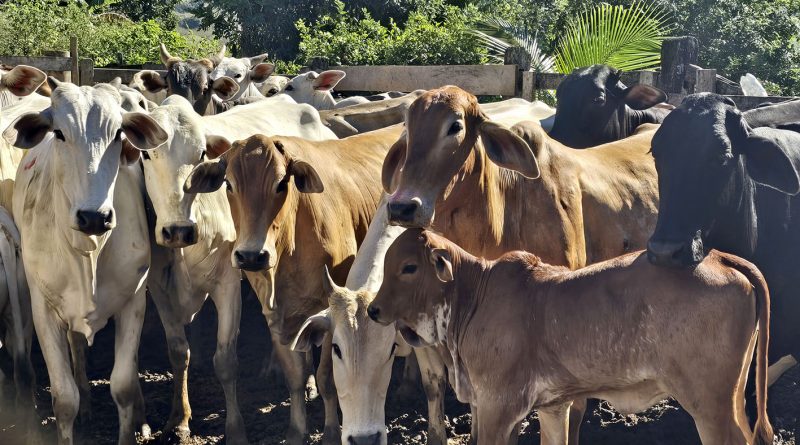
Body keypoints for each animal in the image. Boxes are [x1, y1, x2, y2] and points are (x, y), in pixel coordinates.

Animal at [3, 79, 167, 445]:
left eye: (119, 133)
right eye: (59, 133)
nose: (94, 216)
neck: (88, 250)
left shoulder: (134, 302)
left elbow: (122, 386)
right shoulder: (43, 310)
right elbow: (64, 399)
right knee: (76, 347)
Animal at [126, 94, 338, 443]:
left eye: (201, 154)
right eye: (146, 154)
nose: (178, 230)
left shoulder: (227, 283)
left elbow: (225, 362)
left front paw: (235, 429)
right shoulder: (159, 286)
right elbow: (178, 353)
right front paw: (179, 419)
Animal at [183, 124, 402, 444]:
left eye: (280, 184)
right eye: (229, 184)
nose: (251, 255)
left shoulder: (330, 309)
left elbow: (328, 378)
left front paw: (331, 432)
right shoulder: (275, 313)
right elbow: (295, 376)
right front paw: (297, 430)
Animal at [368, 229, 774, 445]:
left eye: (409, 267)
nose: (373, 309)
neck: (472, 298)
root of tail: (719, 257)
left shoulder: (498, 405)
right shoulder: (552, 406)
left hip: (709, 403)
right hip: (732, 396)